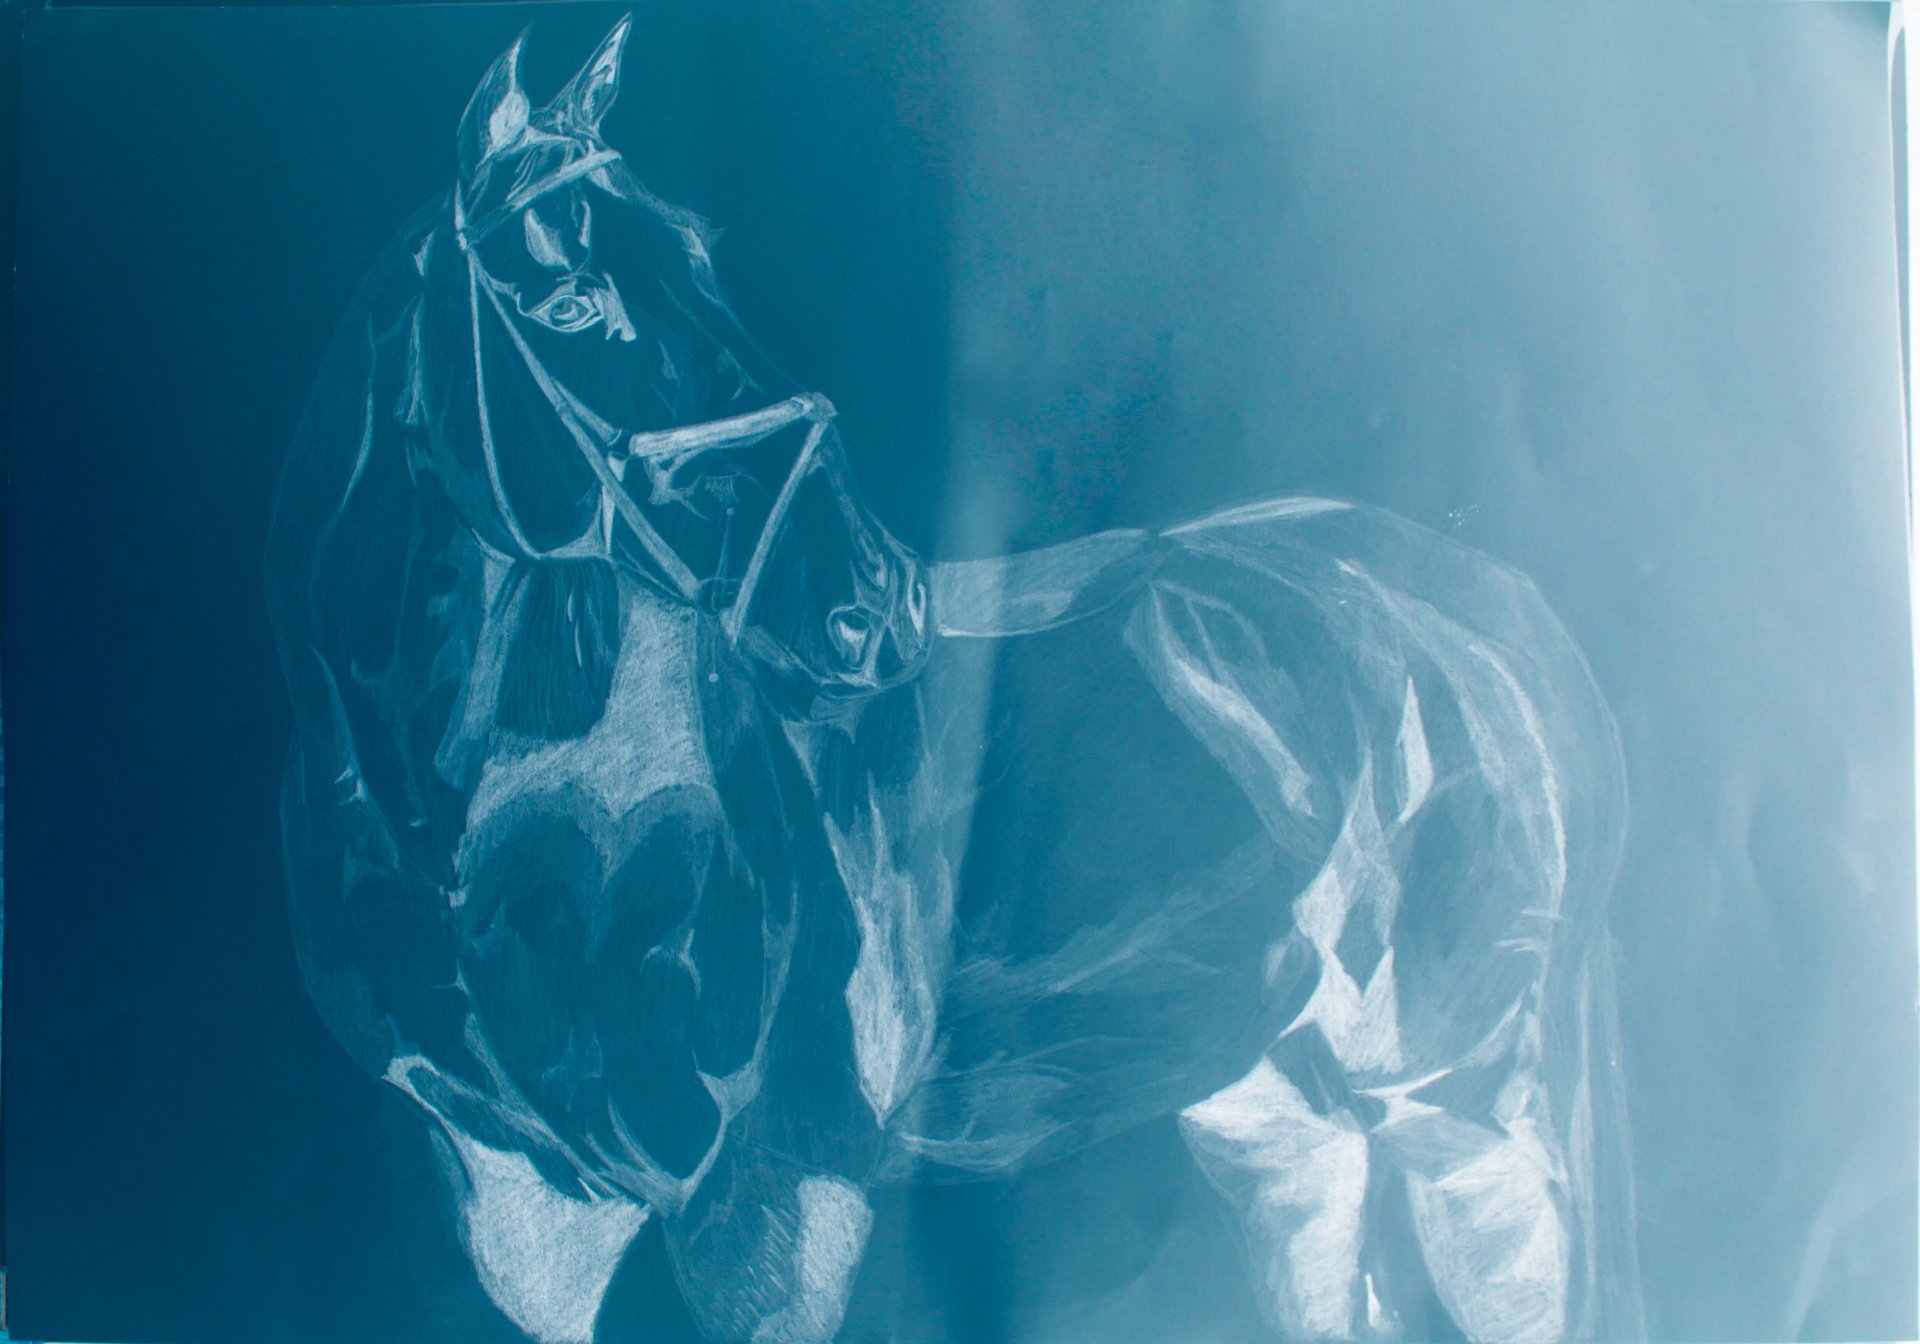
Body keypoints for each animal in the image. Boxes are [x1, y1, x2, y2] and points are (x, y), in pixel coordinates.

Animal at [266, 19, 1642, 1344]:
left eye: (704, 259)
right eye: (568, 303)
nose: (872, 598)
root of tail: (1471, 613)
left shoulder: (776, 1203)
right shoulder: (517, 1206)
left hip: (1470, 1115)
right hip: (1277, 1118)